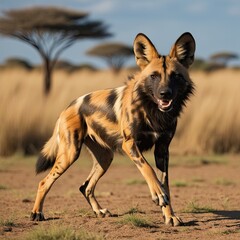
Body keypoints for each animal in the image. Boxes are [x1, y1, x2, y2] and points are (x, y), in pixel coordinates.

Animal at [30, 32, 195, 226]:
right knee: (44, 182)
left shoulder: (162, 149)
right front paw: (158, 194)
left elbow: (166, 185)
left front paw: (169, 216)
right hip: (69, 154)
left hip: (105, 158)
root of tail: (70, 105)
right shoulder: (130, 145)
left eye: (175, 76)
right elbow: (148, 169)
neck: (153, 110)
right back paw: (37, 213)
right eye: (154, 76)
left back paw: (99, 211)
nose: (165, 93)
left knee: (85, 186)